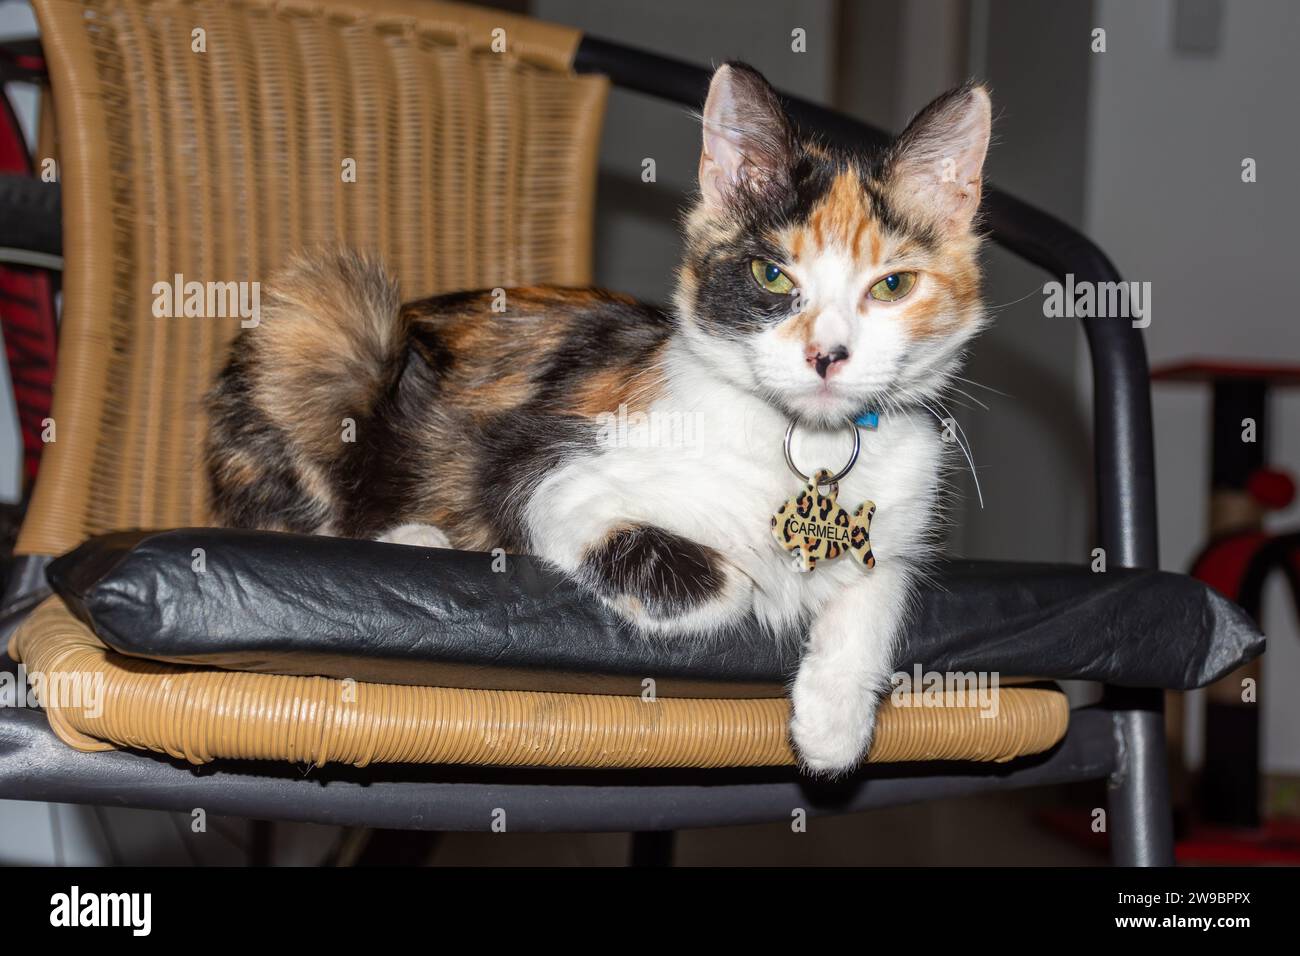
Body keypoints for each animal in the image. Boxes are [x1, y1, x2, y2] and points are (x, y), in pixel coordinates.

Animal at [208, 61, 987, 780]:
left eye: (892, 285)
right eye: (771, 276)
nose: (828, 355)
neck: (800, 442)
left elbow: (880, 582)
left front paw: (832, 723)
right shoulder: (546, 473)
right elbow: (730, 582)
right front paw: (770, 588)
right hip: (331, 323)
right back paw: (417, 535)